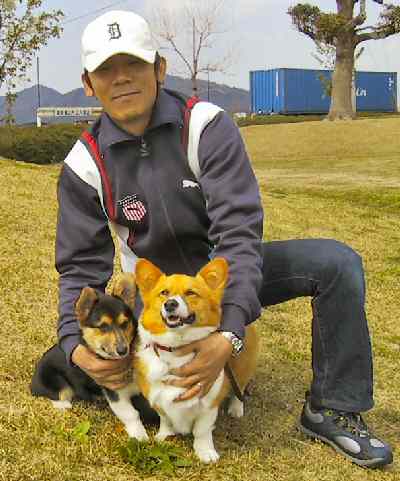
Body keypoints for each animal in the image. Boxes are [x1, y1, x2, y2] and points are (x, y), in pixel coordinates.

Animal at [30, 273, 151, 440]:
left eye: (124, 323)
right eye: (103, 327)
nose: (122, 350)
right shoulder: (114, 392)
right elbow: (130, 414)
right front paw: (139, 436)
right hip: (57, 383)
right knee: (58, 395)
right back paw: (65, 405)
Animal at [134, 257, 260, 463]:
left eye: (191, 293)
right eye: (164, 293)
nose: (169, 304)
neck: (176, 349)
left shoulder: (209, 404)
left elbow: (202, 430)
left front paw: (205, 452)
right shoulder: (157, 398)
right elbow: (165, 419)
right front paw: (164, 436)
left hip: (243, 365)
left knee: (239, 388)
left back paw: (236, 408)